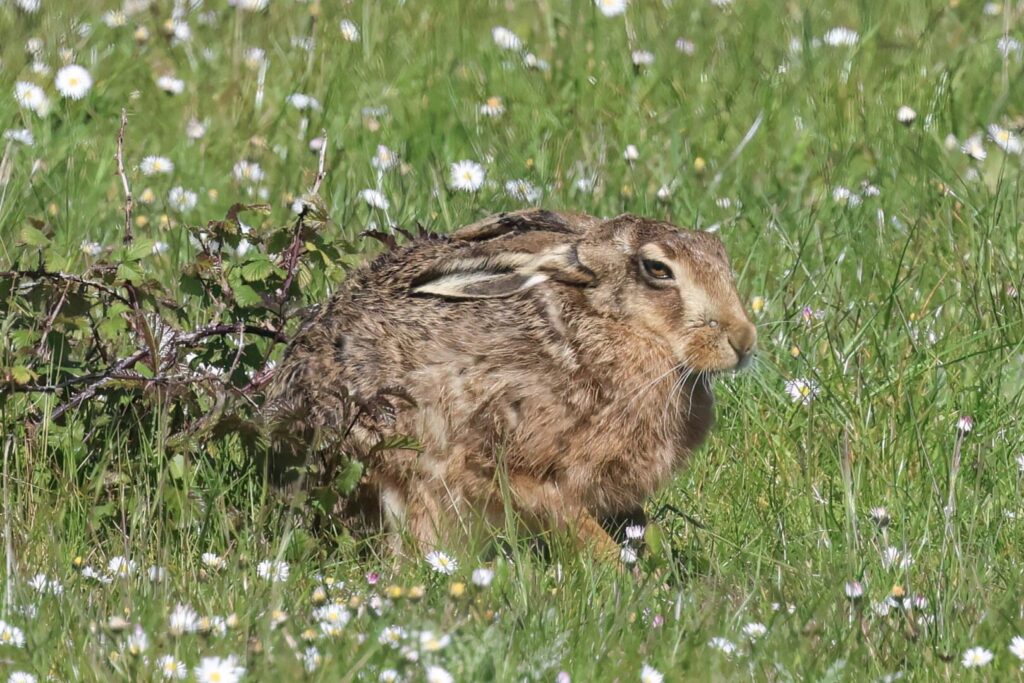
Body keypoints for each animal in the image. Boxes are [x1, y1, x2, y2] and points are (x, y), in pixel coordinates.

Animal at [262, 209, 756, 561]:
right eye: (657, 269)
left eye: (718, 251)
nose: (744, 340)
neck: (613, 323)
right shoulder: (504, 467)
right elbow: (573, 523)